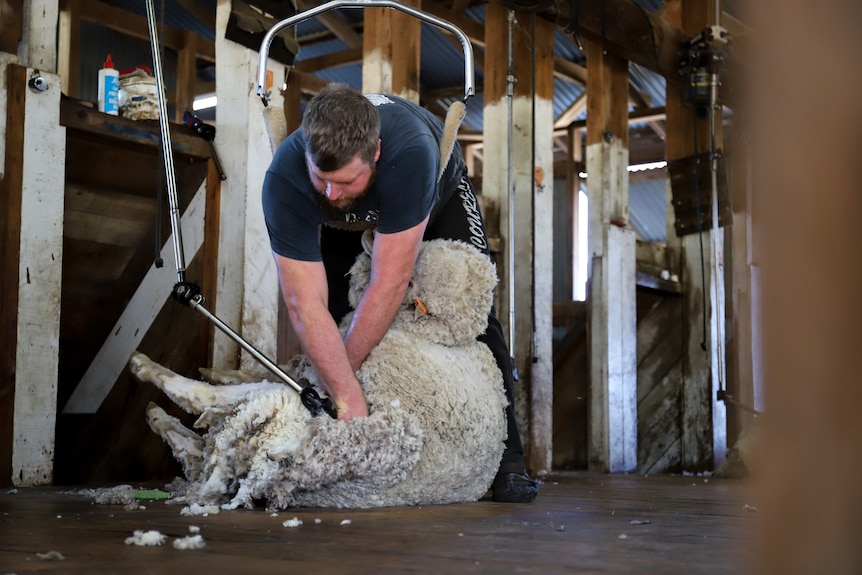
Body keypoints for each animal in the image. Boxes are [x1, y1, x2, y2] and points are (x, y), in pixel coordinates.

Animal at [131, 238, 510, 508]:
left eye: (412, 279)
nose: (373, 239)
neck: (434, 338)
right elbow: (277, 368)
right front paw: (219, 370)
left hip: (280, 411)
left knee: (201, 408)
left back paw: (146, 373)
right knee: (197, 447)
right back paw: (159, 413)